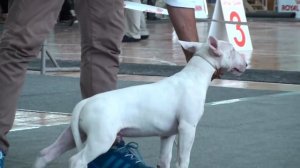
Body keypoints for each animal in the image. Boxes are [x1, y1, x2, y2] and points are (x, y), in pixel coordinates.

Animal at [34, 35, 247, 168]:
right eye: (233, 49)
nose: (246, 63)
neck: (195, 75)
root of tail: (85, 102)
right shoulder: (187, 127)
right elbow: (183, 159)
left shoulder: (168, 134)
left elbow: (164, 160)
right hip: (101, 138)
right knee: (77, 160)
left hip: (74, 134)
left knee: (47, 153)